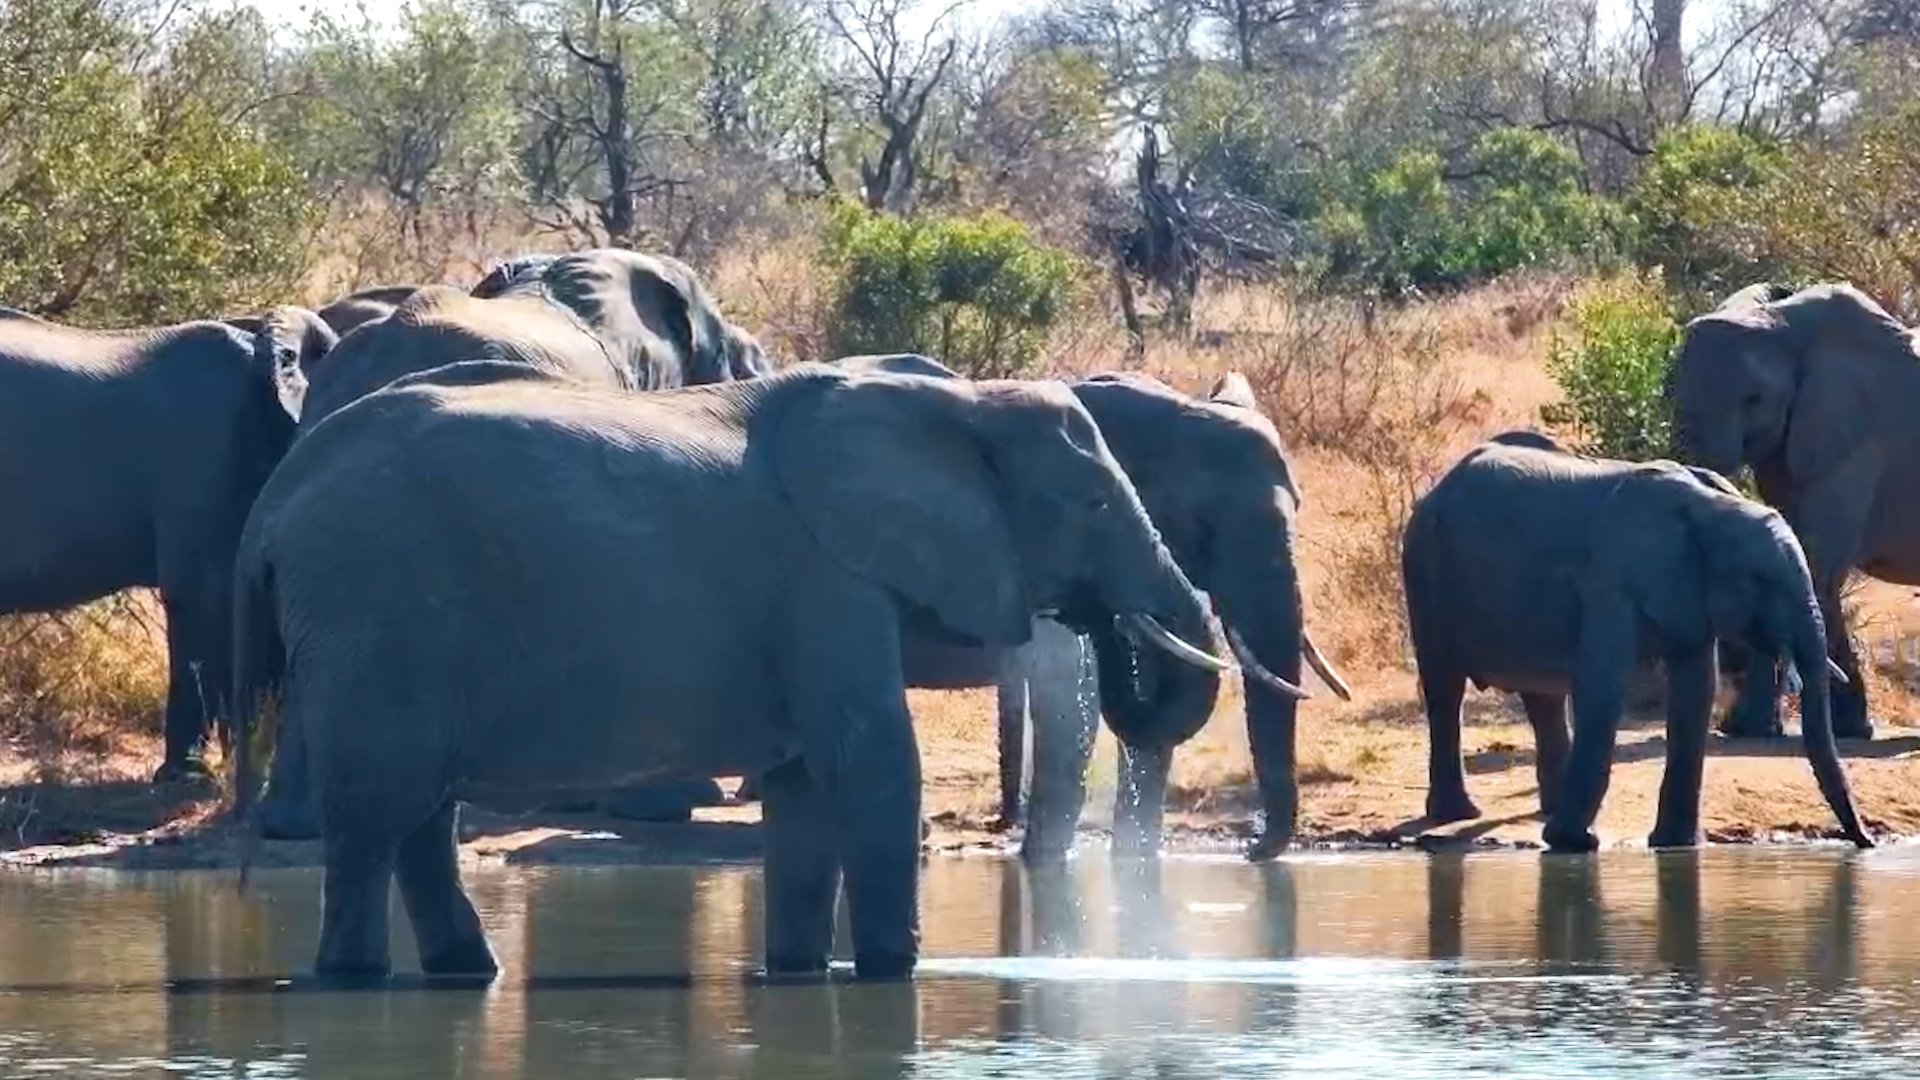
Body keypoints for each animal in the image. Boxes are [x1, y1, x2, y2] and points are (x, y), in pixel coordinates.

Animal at [228, 358, 1230, 981]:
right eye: (1093, 502)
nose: (1106, 622)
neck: (959, 404)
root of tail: (274, 500)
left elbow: (806, 787)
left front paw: (800, 973)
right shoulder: (828, 580)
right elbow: (871, 764)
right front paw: (890, 972)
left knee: (420, 815)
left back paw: (468, 973)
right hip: (373, 605)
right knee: (375, 813)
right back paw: (352, 977)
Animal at [1403, 430, 1873, 852]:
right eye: (1759, 580)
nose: (1864, 842)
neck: (1711, 510)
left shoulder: (1689, 591)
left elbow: (1695, 693)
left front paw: (1677, 845)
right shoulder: (1611, 580)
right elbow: (1602, 687)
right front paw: (1574, 843)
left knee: (1543, 698)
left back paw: (1544, 809)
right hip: (1424, 566)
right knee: (1445, 688)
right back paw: (1459, 814)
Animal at [1669, 280, 1920, 741]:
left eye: (1754, 399)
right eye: (1672, 387)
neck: (1784, 326)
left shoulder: (1856, 439)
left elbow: (1814, 558)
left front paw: (1746, 730)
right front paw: (1852, 729)